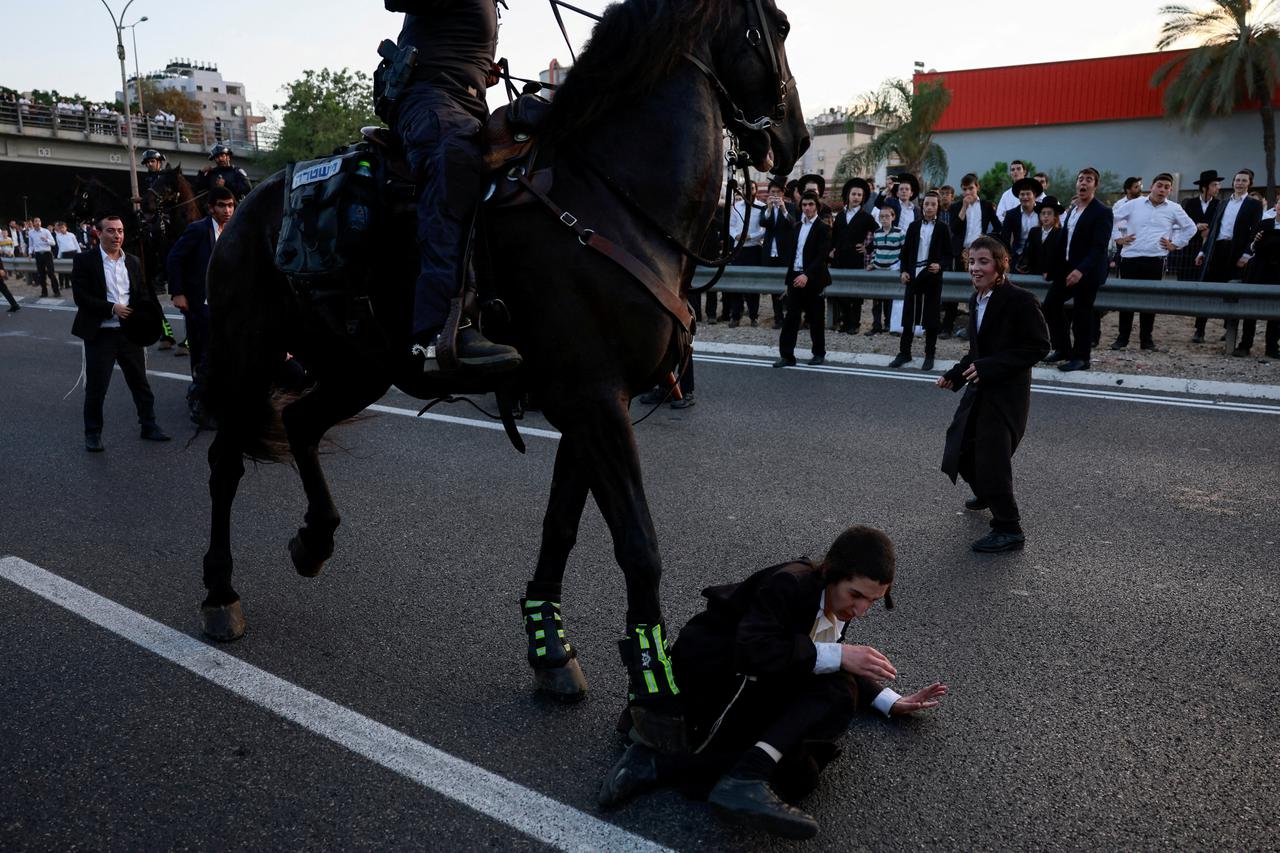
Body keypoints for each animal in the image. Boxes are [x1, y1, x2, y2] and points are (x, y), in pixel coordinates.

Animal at [195, 0, 803, 722]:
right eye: (782, 25)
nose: (795, 139)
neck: (611, 200)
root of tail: (245, 208)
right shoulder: (595, 401)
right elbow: (638, 543)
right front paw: (654, 690)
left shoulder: (594, 404)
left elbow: (561, 526)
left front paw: (550, 648)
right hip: (248, 351)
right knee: (227, 462)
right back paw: (219, 592)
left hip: (359, 364)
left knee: (302, 424)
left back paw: (315, 540)